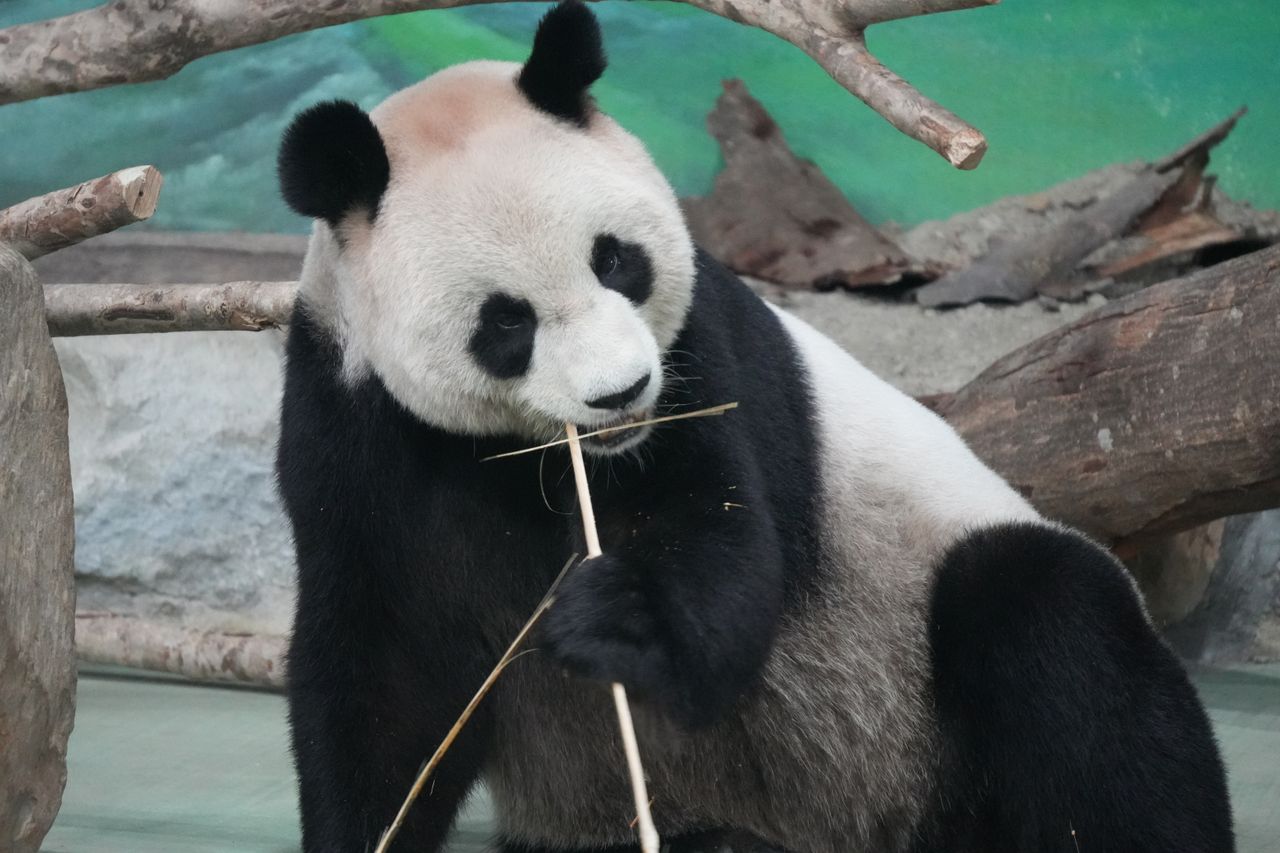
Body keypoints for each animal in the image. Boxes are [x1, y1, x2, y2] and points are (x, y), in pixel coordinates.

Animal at [274, 3, 1233, 852]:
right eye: (506, 322)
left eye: (615, 259)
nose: (621, 394)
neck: (530, 460)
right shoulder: (353, 426)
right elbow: (384, 677)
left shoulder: (707, 356)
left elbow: (721, 554)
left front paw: (611, 614)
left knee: (1062, 634)